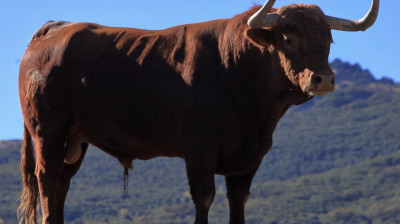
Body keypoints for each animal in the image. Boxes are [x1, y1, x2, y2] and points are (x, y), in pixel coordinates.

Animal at [16, 0, 378, 224]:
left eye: (329, 39)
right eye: (288, 38)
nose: (323, 79)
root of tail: (56, 28)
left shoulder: (249, 157)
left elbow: (238, 201)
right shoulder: (199, 150)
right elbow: (204, 198)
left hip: (75, 141)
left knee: (62, 184)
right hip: (48, 132)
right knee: (47, 179)